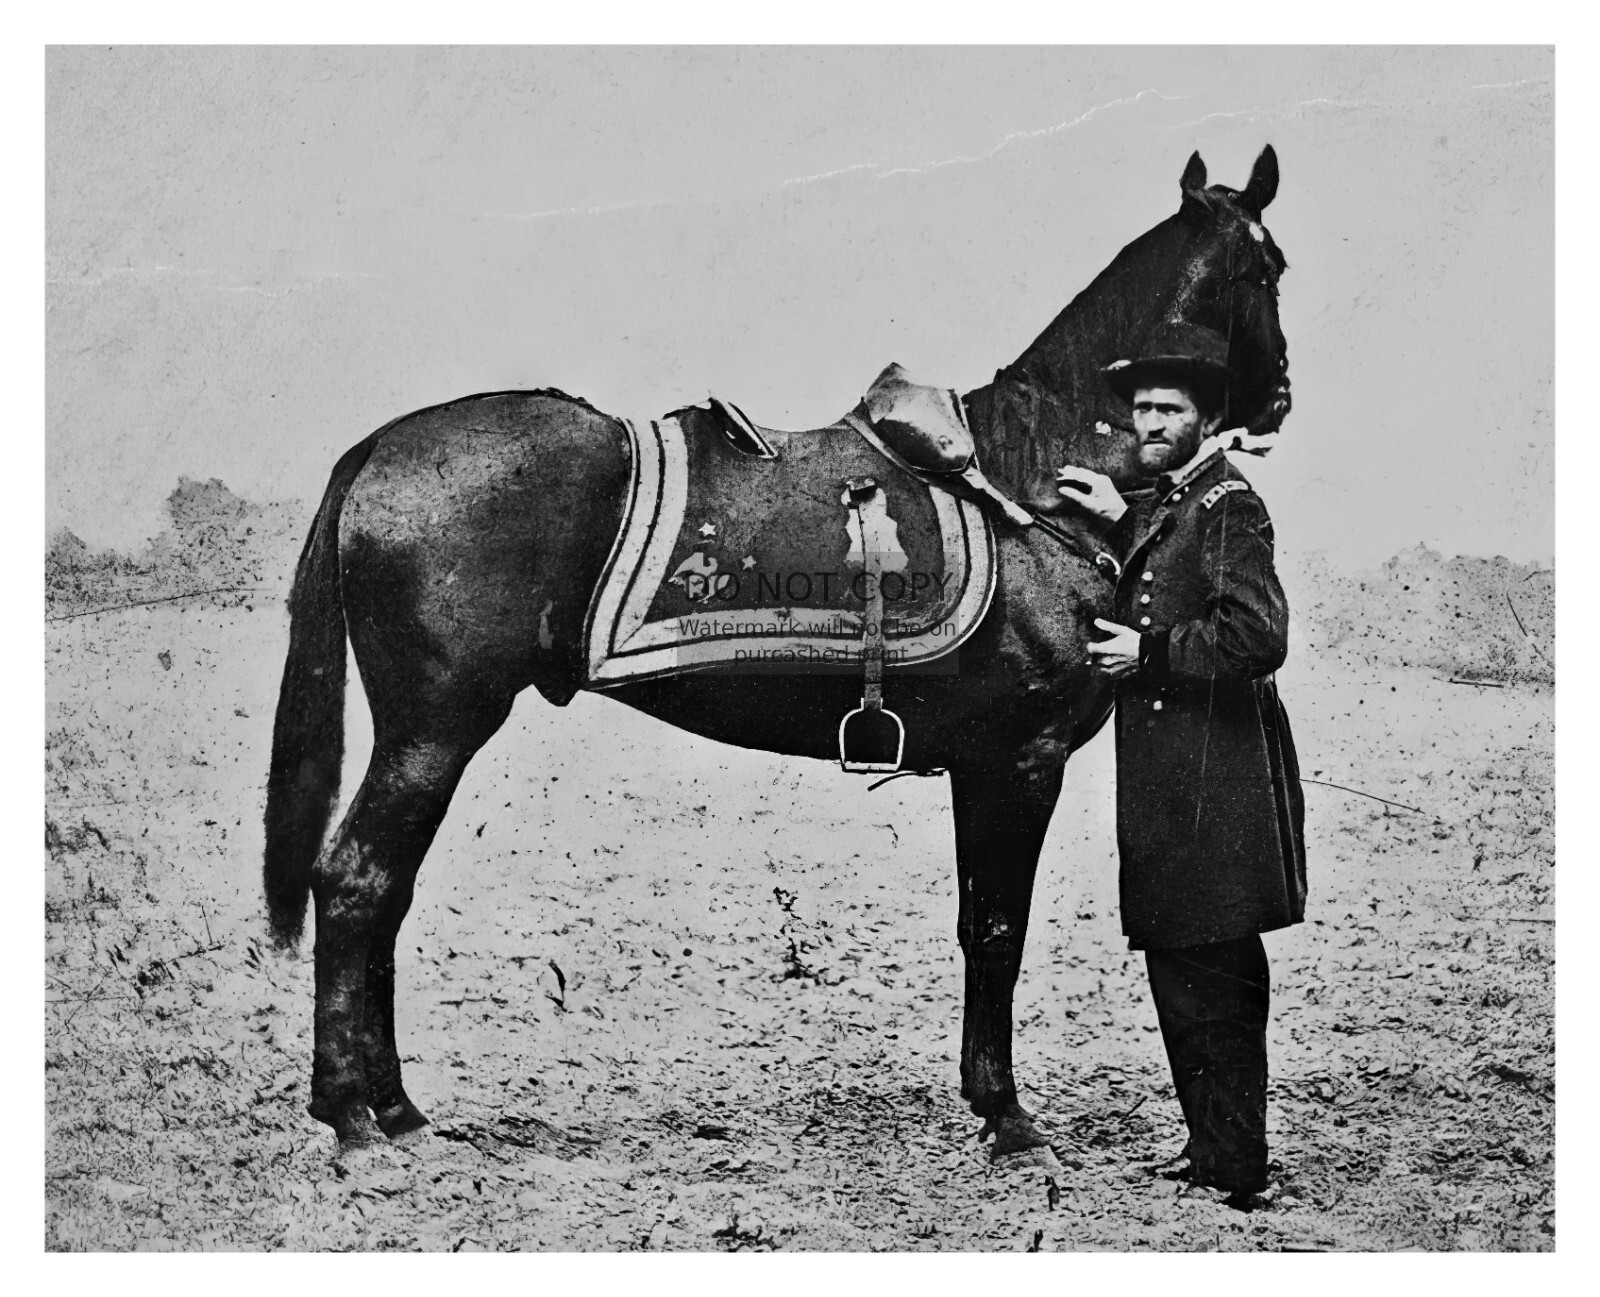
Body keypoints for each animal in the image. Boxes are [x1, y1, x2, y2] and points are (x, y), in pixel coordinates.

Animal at [264, 147, 1291, 1160]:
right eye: (1266, 270)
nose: (1279, 395)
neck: (1028, 479)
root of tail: (379, 449)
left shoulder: (981, 766)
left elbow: (976, 925)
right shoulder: (1018, 762)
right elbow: (1000, 929)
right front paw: (1008, 1117)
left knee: (384, 894)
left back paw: (396, 1107)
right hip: (433, 730)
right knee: (355, 881)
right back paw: (353, 1118)